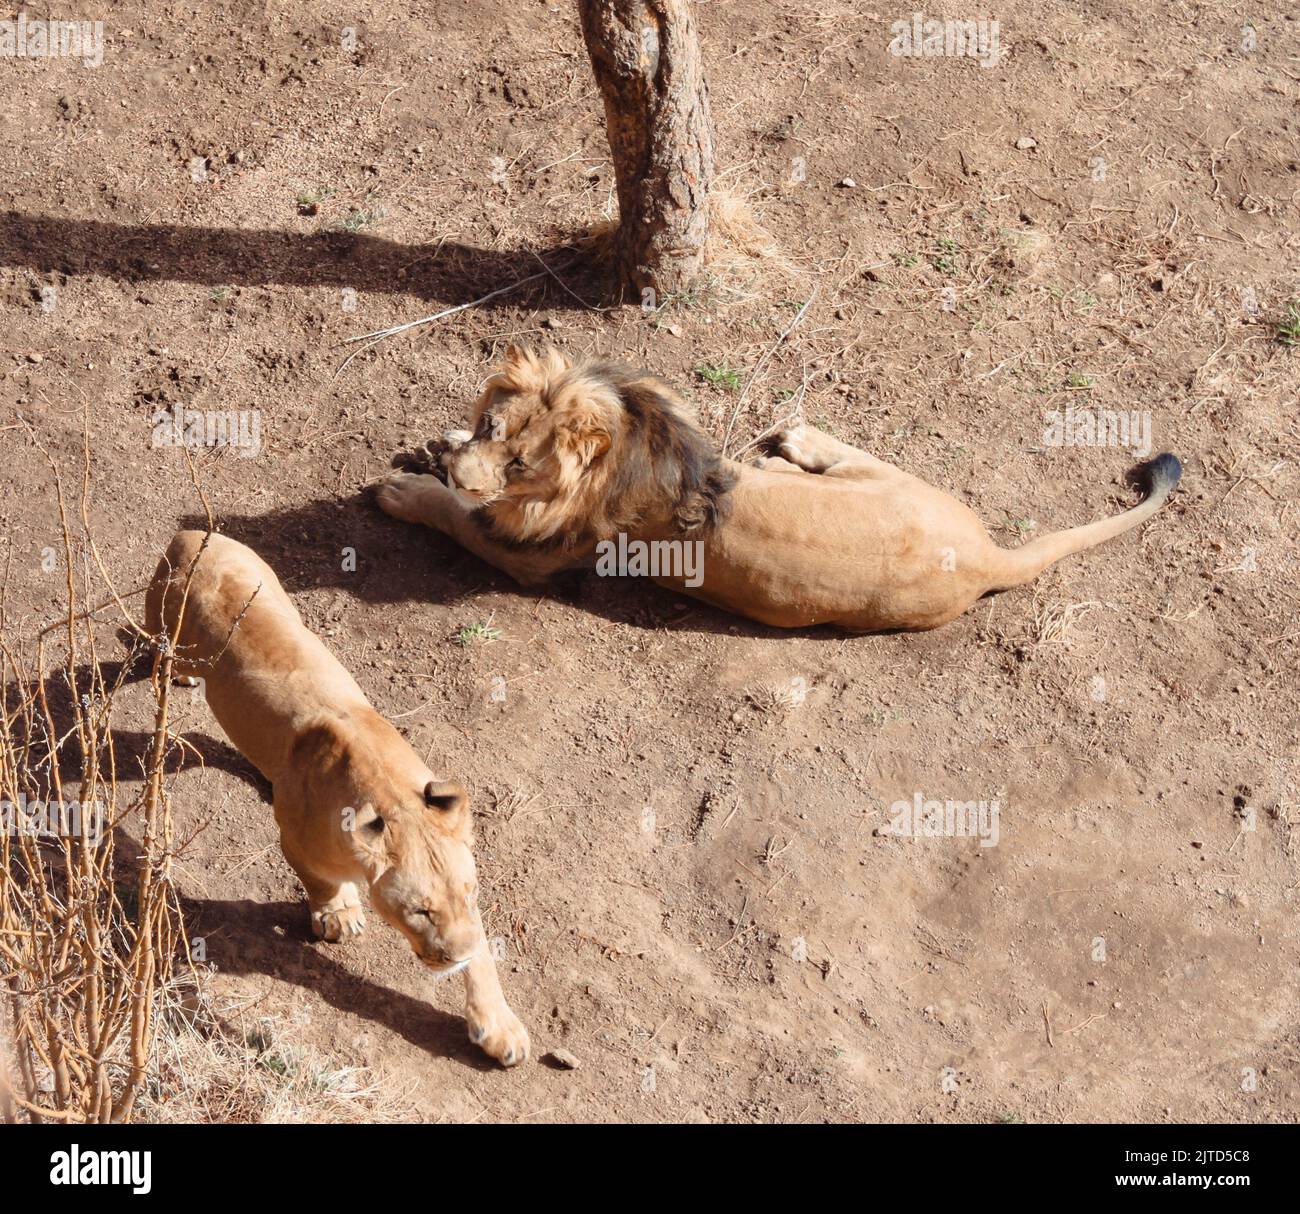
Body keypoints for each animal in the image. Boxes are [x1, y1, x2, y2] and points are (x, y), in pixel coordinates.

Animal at [150, 530, 533, 1065]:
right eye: (420, 912)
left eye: (469, 893)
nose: (452, 957)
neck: (391, 796)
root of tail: (191, 535)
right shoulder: (295, 839)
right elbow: (322, 882)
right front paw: (339, 916)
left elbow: (483, 953)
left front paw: (499, 1027)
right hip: (162, 624)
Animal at [371, 340, 1185, 626]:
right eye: (490, 426)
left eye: (521, 465)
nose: (466, 464)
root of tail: (988, 558)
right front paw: (439, 449)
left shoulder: (528, 558)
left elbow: (455, 515)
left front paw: (406, 491)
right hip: (899, 484)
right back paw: (789, 446)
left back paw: (794, 440)